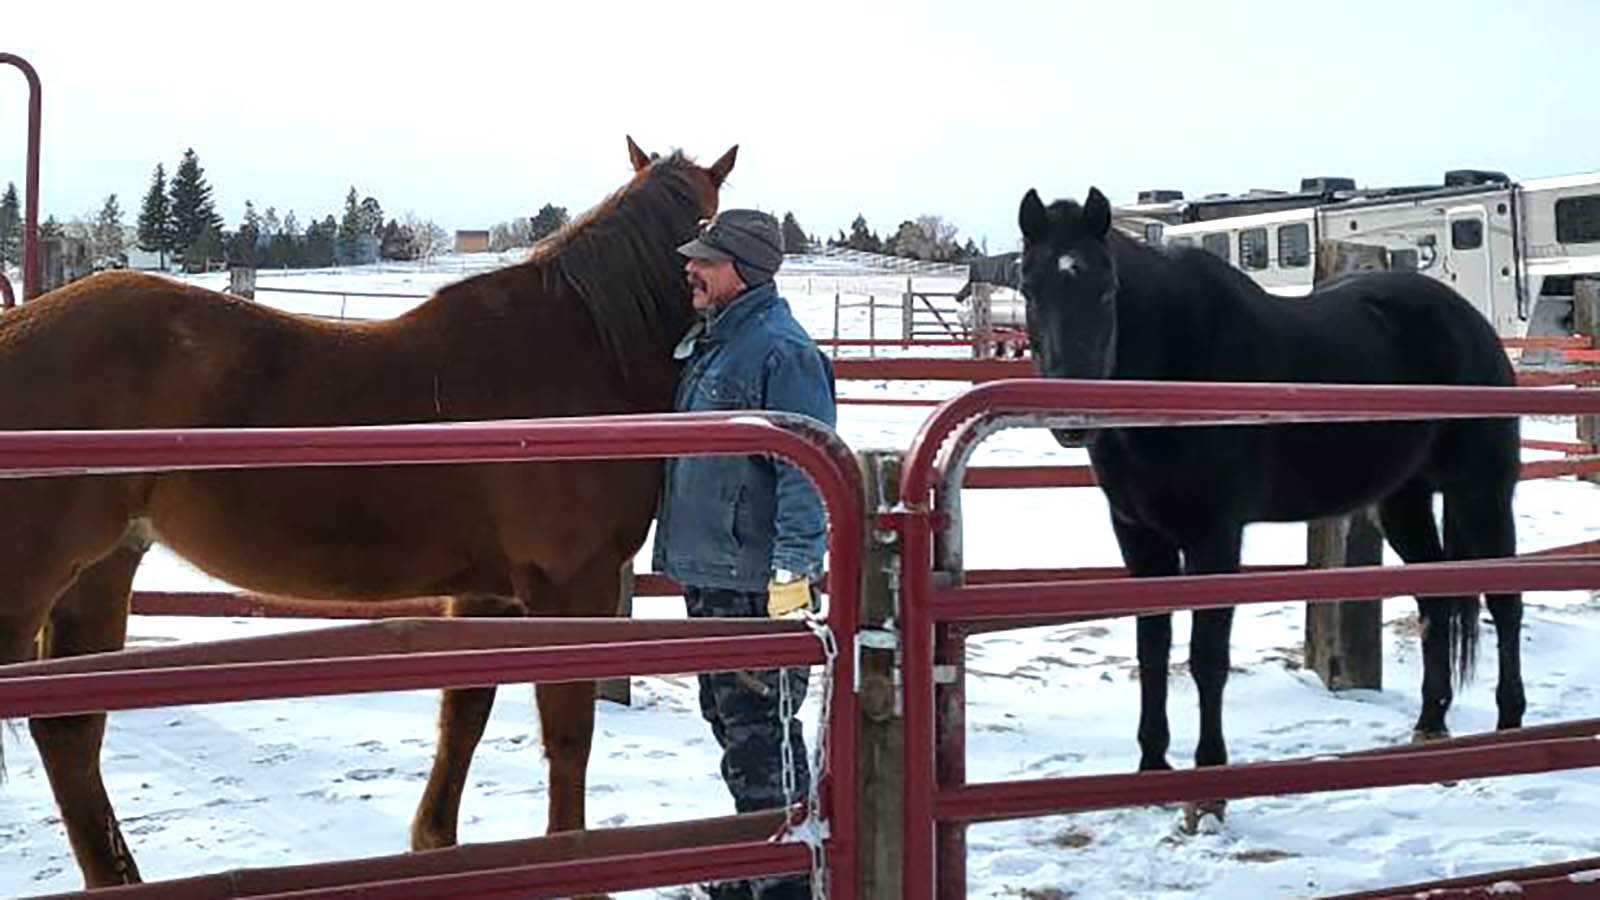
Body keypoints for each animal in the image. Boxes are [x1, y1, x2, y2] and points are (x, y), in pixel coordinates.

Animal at [0, 134, 736, 883]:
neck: (580, 352)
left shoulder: (488, 594)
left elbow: (464, 712)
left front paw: (436, 844)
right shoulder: (567, 586)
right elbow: (568, 734)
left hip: (100, 570)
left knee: (68, 730)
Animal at [1017, 185, 1516, 826]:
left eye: (1106, 288)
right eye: (1029, 288)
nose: (1072, 416)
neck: (1180, 370)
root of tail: (1471, 321)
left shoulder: (1213, 536)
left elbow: (1206, 657)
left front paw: (1208, 789)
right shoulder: (1139, 536)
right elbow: (1152, 649)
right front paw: (1151, 768)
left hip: (1482, 492)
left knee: (1505, 604)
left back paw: (1509, 730)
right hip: (1403, 503)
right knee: (1438, 599)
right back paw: (1431, 725)